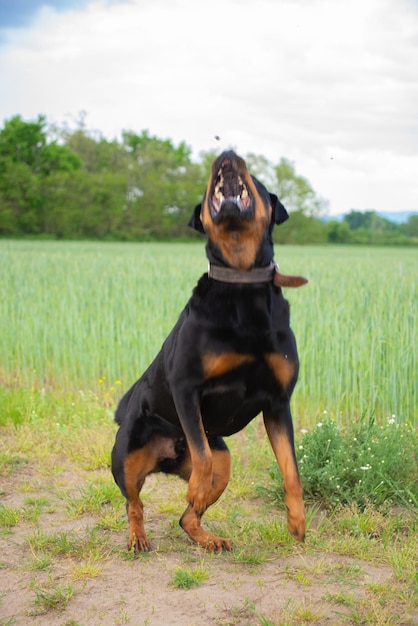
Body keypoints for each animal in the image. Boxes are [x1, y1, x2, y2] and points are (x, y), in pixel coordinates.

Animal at [111, 150, 306, 552]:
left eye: (257, 179)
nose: (228, 155)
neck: (242, 281)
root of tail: (166, 460)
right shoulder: (186, 387)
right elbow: (199, 456)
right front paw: (196, 490)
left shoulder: (278, 401)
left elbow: (291, 469)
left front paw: (297, 521)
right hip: (125, 457)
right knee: (134, 502)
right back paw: (139, 538)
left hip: (225, 463)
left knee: (186, 516)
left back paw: (208, 538)